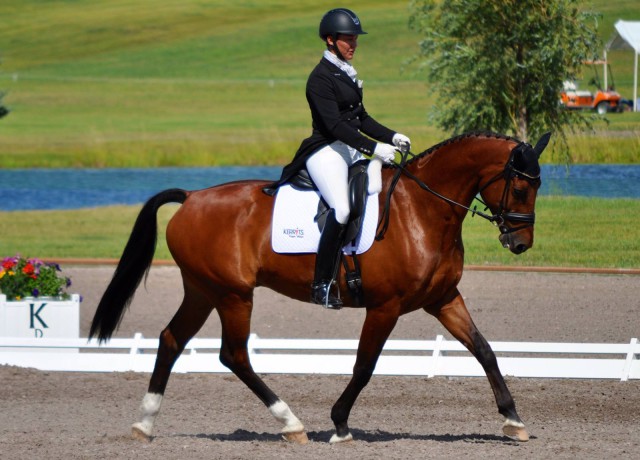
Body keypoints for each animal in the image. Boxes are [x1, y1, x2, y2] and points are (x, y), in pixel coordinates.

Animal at [89, 130, 552, 446]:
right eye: (522, 187)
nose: (521, 244)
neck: (422, 210)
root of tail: (191, 197)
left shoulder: (442, 300)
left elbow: (484, 350)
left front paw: (513, 420)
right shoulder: (385, 307)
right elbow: (364, 366)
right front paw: (340, 423)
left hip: (202, 290)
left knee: (172, 339)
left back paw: (145, 423)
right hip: (233, 294)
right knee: (234, 355)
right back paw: (291, 424)